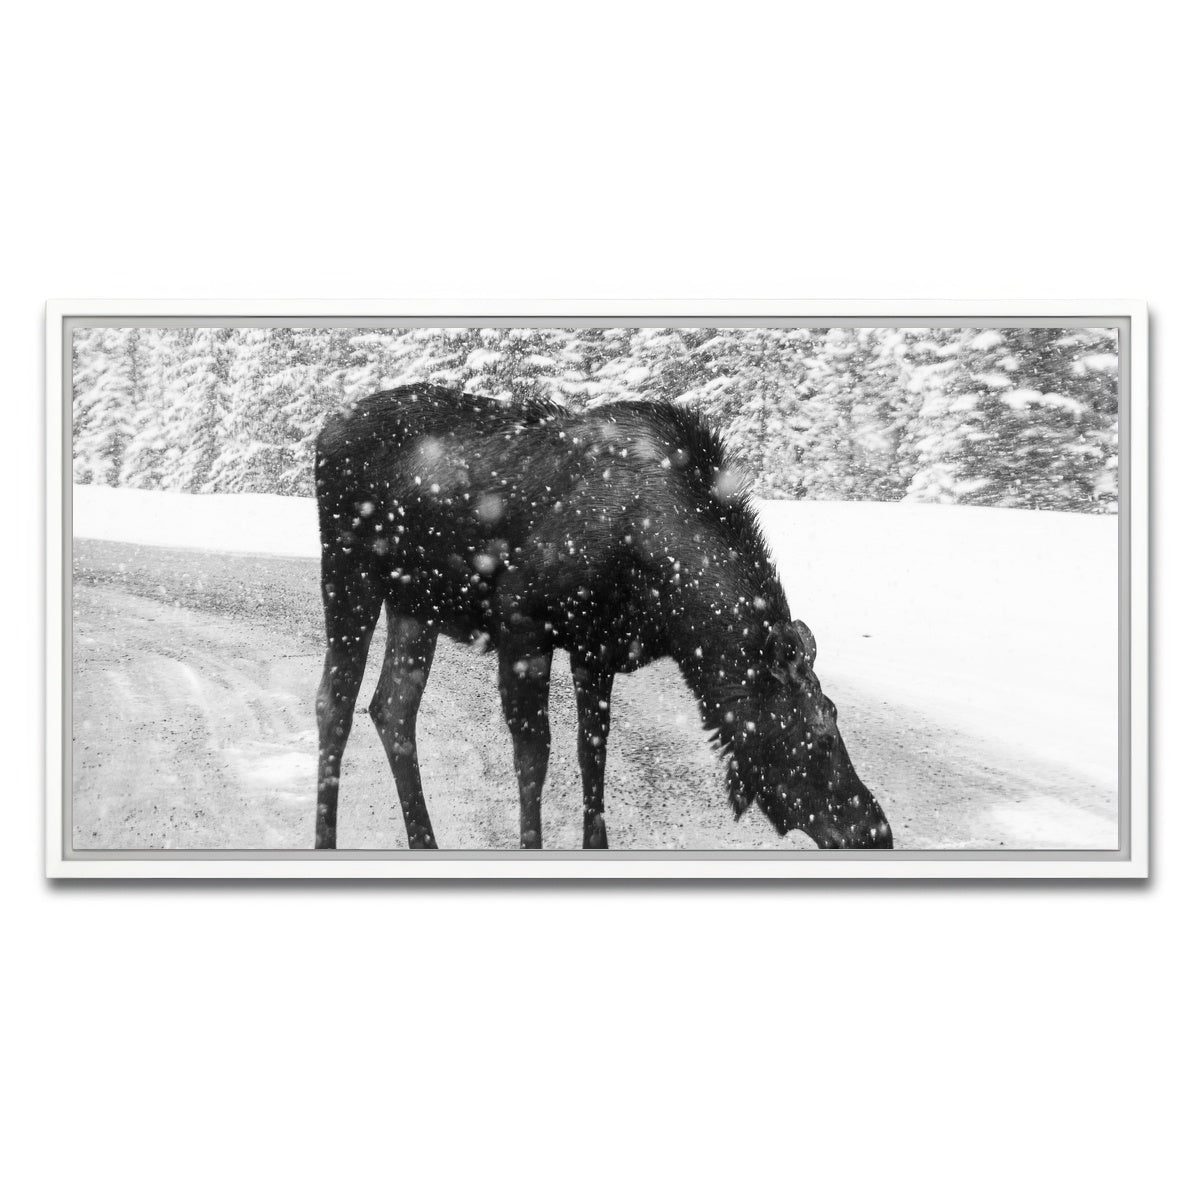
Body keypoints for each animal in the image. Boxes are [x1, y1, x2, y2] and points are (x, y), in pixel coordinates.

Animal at [314, 383, 891, 851]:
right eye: (820, 732)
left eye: (835, 714)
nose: (875, 830)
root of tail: (323, 432)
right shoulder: (523, 625)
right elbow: (535, 756)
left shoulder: (596, 649)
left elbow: (592, 754)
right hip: (348, 573)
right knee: (335, 704)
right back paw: (326, 839)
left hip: (415, 604)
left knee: (392, 707)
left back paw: (424, 839)